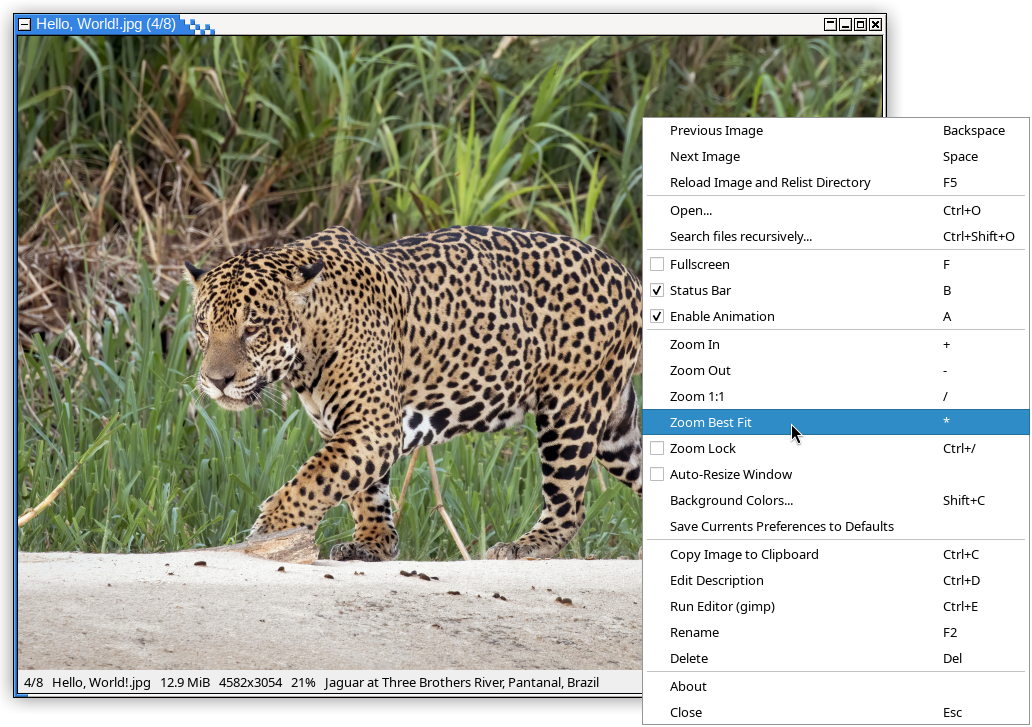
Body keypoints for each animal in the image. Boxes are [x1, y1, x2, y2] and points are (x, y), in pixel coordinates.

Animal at [185, 224, 642, 561]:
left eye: (253, 328)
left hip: (571, 410)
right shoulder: (350, 429)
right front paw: (373, 545)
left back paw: (525, 546)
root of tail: (626, 273)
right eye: (204, 326)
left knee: (569, 505)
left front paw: (268, 532)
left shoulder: (371, 427)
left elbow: (315, 480)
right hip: (616, 433)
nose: (216, 380)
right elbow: (361, 488)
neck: (310, 342)